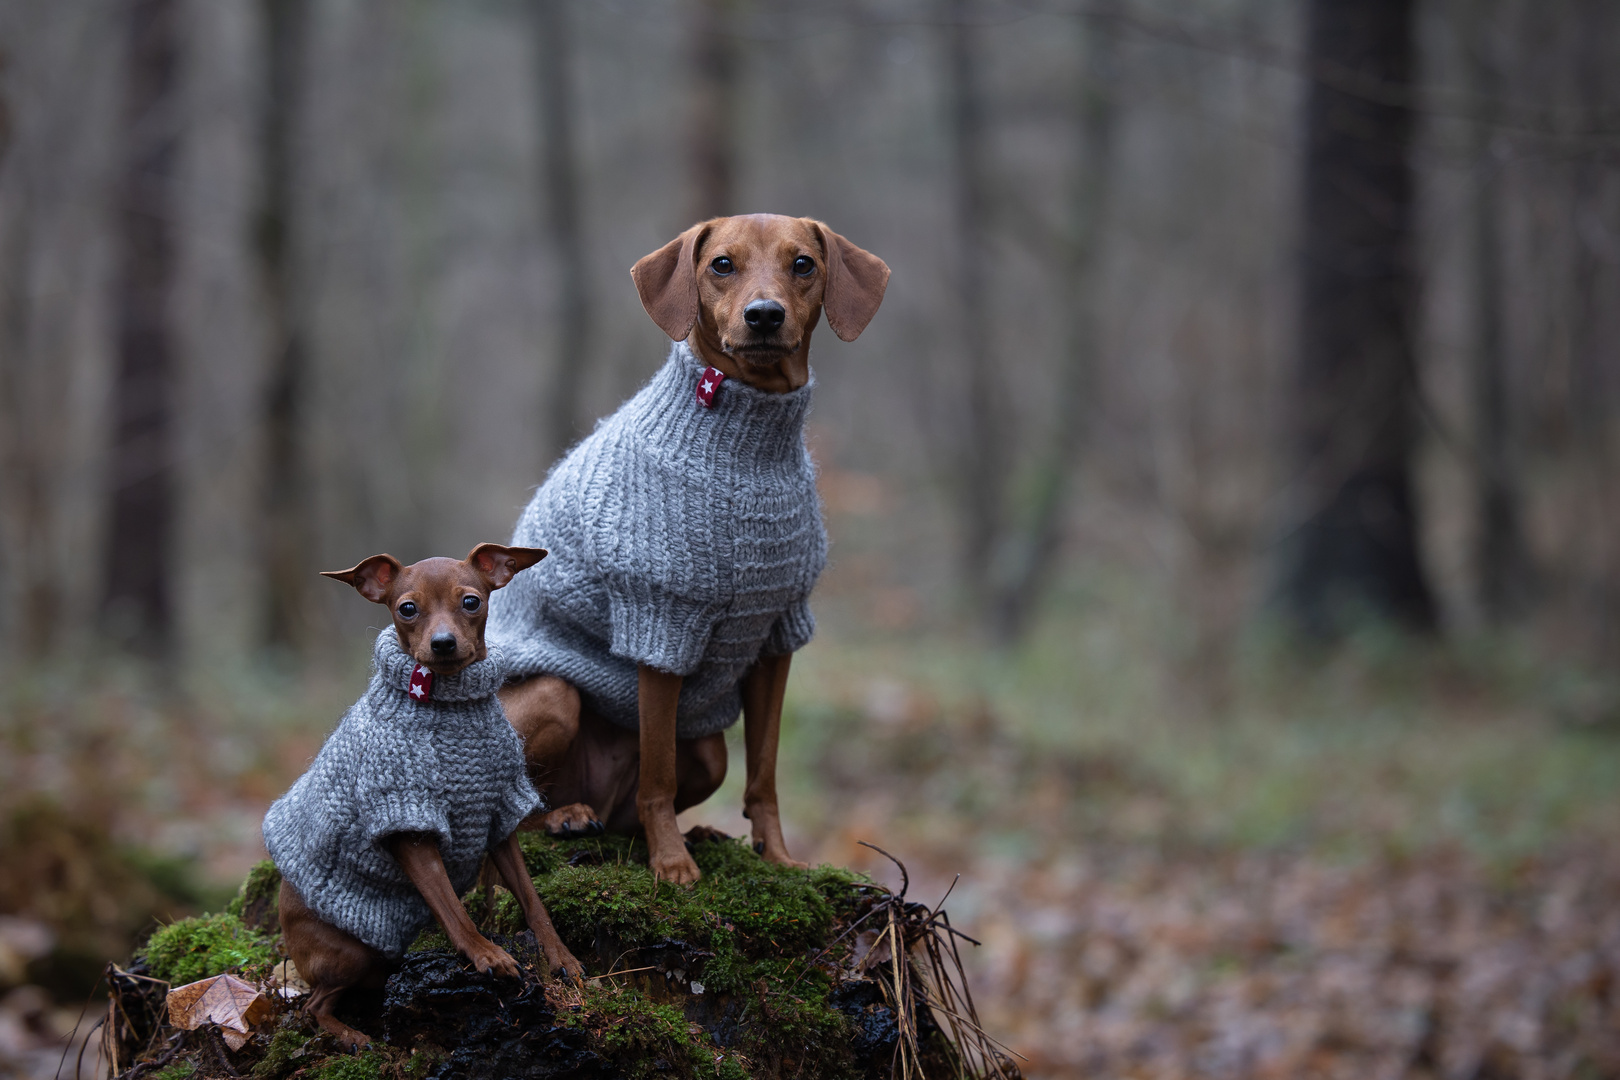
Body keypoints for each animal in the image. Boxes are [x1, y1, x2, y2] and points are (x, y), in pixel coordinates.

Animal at [268, 544, 586, 1049]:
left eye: (471, 601)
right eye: (407, 609)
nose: (442, 644)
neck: (453, 710)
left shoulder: (497, 819)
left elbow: (533, 901)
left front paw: (561, 957)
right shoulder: (408, 825)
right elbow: (453, 910)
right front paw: (487, 955)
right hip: (349, 954)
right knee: (313, 1006)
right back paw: (352, 1037)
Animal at [495, 213, 894, 887]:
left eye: (804, 264)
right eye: (722, 265)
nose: (764, 315)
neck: (748, 443)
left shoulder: (778, 632)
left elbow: (764, 774)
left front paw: (777, 857)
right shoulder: (661, 620)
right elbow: (657, 773)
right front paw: (672, 865)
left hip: (706, 751)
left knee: (635, 808)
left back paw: (688, 830)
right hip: (552, 695)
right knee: (511, 811)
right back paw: (567, 818)